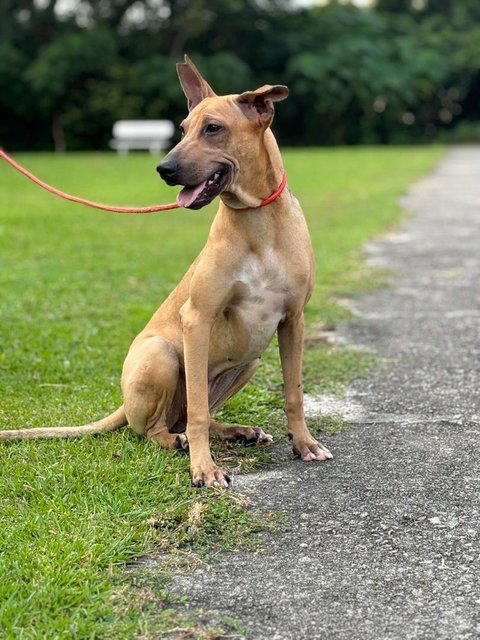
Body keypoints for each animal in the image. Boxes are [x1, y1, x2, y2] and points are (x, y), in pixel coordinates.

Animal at [0, 57, 332, 488]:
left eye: (213, 128)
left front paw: (304, 443)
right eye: (183, 128)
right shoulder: (198, 318)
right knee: (158, 426)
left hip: (249, 362)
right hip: (160, 354)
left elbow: (293, 392)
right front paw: (204, 468)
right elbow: (197, 414)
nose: (164, 168)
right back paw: (179, 441)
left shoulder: (293, 319)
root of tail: (124, 404)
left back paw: (239, 431)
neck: (258, 220)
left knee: (195, 414)